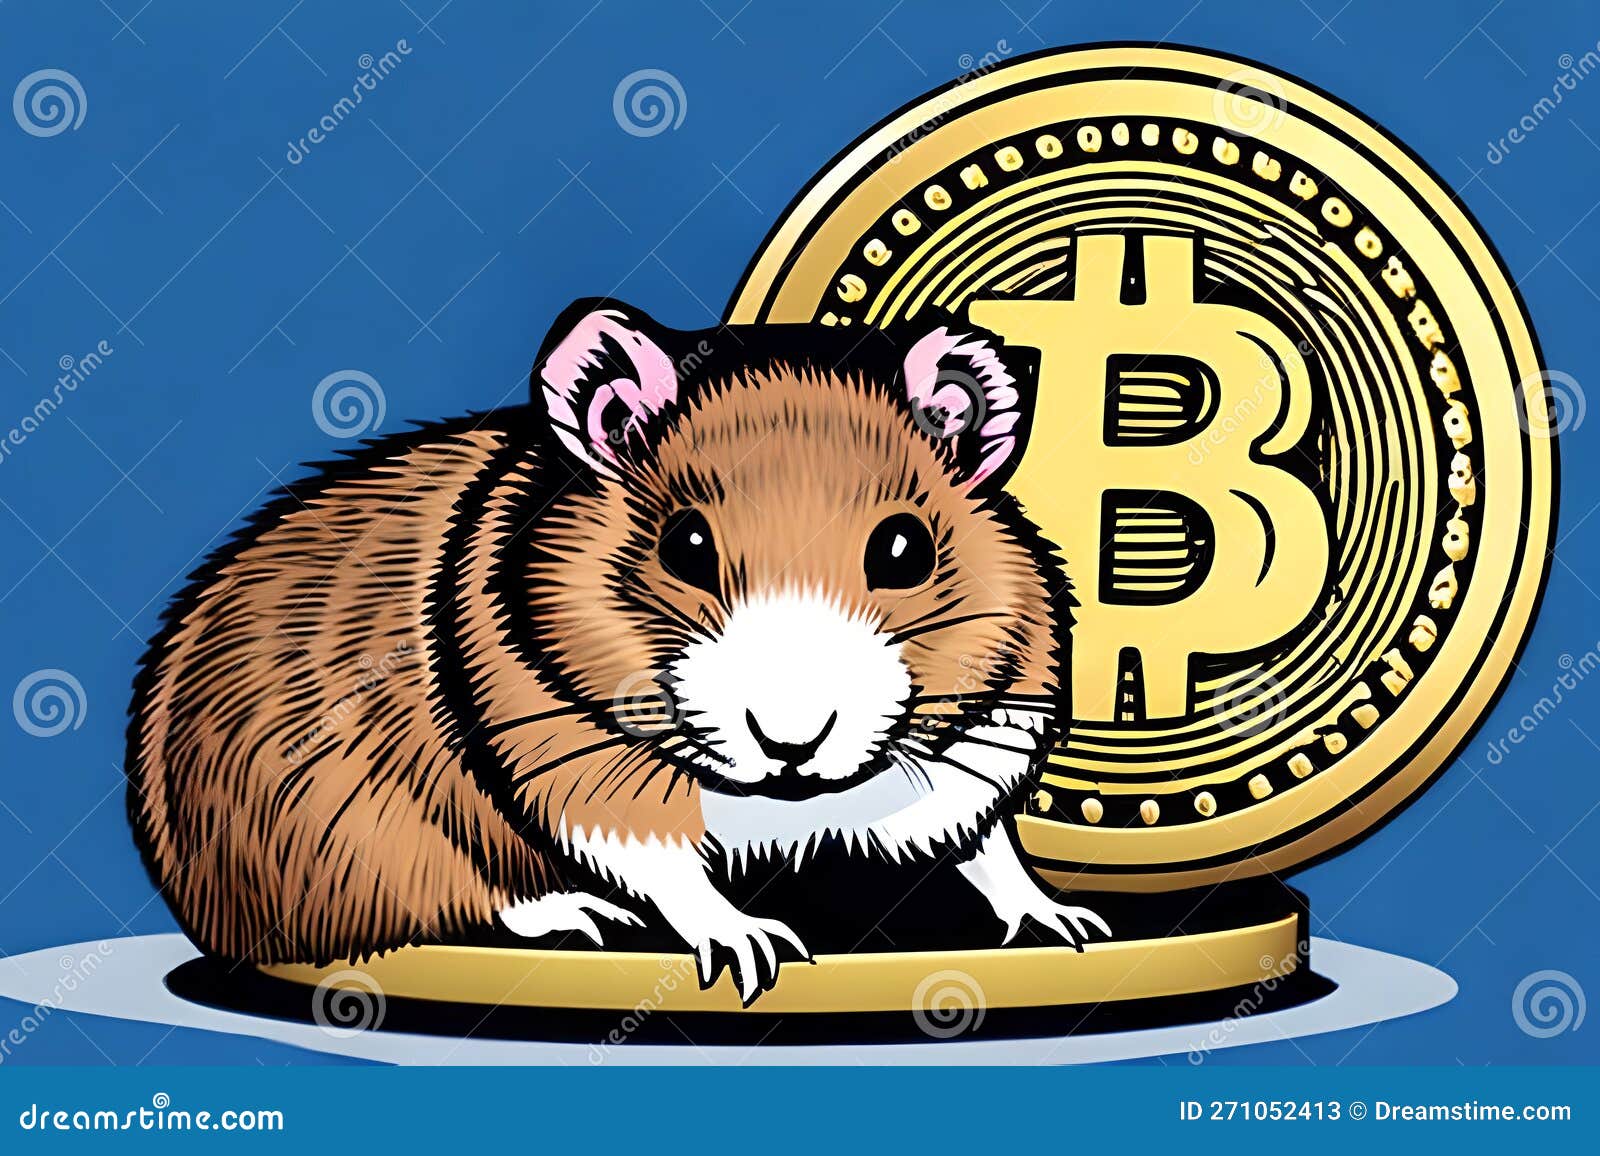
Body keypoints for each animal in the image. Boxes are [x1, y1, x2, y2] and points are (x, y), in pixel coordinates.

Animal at [126, 299, 1109, 1004]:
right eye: (685, 544)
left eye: (904, 548)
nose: (792, 742)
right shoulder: (573, 760)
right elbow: (664, 862)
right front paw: (755, 950)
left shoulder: (986, 734)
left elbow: (985, 841)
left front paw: (1066, 925)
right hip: (381, 851)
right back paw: (581, 916)